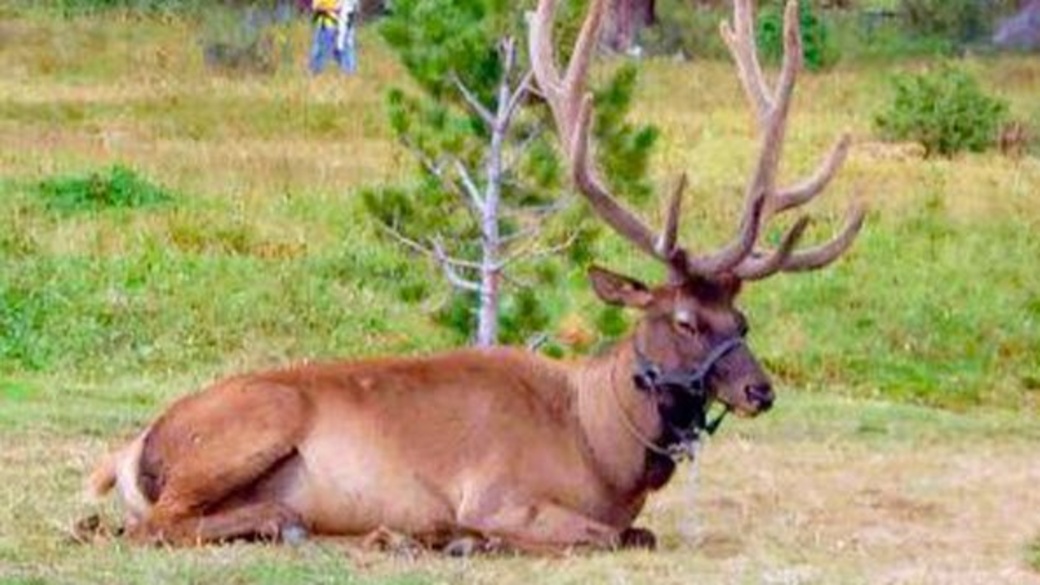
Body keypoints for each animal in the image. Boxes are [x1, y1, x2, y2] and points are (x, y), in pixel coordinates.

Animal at [85, 0, 861, 553]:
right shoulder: (496, 491)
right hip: (252, 421)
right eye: (684, 320)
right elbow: (604, 537)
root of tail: (132, 446)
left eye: (743, 319)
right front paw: (462, 538)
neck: (600, 448)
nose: (760, 389)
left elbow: (638, 532)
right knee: (155, 524)